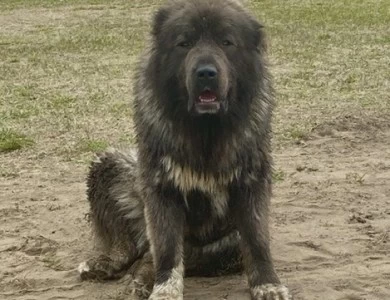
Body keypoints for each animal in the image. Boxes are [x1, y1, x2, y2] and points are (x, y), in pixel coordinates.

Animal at [78, 0, 292, 300]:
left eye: (227, 42)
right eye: (184, 43)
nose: (206, 73)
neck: (205, 131)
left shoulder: (252, 185)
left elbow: (258, 242)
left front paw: (267, 284)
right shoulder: (161, 190)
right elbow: (167, 251)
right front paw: (165, 289)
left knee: (153, 257)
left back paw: (138, 280)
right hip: (110, 165)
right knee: (130, 246)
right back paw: (106, 264)